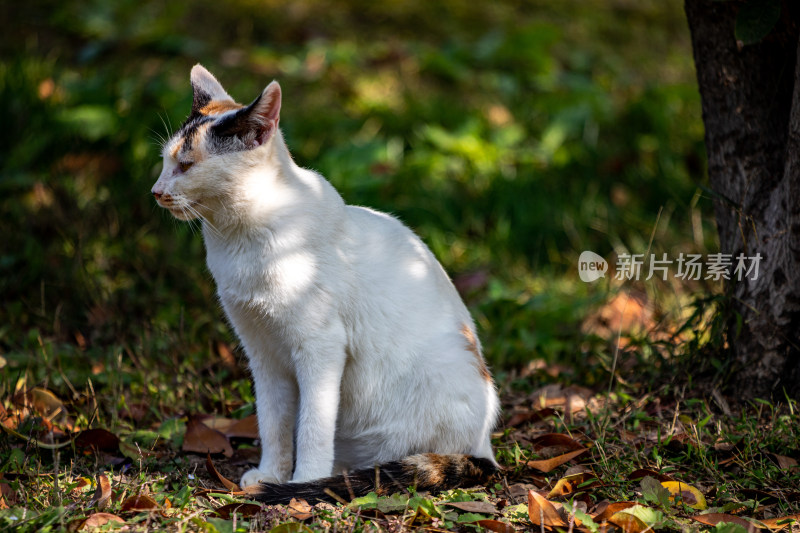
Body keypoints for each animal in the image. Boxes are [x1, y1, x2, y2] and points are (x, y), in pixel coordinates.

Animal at [152, 64, 500, 500]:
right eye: (165, 162)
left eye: (186, 165)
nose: (156, 192)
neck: (238, 237)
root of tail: (486, 448)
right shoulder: (261, 352)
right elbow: (273, 421)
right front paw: (272, 473)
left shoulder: (321, 347)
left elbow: (313, 424)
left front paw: (303, 483)